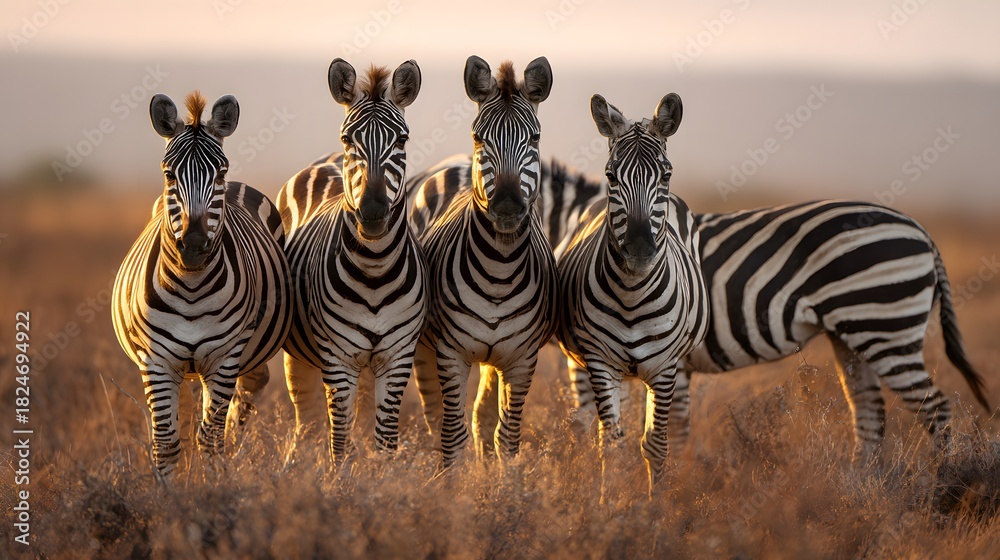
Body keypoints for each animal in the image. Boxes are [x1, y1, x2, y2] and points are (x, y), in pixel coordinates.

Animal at [112, 91, 291, 477]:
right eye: (168, 174)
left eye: (220, 171)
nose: (194, 245)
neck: (192, 288)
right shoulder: (157, 361)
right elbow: (166, 444)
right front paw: (174, 492)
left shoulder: (225, 358)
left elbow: (210, 440)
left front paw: (213, 486)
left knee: (244, 397)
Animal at [277, 59, 426, 466]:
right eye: (348, 139)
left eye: (402, 140)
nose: (372, 213)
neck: (375, 270)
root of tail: (324, 163)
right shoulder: (337, 359)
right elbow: (339, 438)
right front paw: (340, 478)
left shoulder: (397, 358)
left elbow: (385, 438)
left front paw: (382, 476)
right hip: (298, 352)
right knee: (306, 419)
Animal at [409, 56, 557, 467]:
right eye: (479, 136)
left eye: (535, 138)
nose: (506, 204)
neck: (499, 272)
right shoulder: (450, 353)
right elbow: (451, 434)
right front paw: (451, 484)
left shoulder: (522, 360)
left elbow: (506, 435)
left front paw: (504, 482)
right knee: (435, 415)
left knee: (483, 416)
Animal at [555, 93, 709, 494]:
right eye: (611, 175)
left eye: (666, 174)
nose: (640, 248)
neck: (632, 296)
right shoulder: (599, 362)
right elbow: (611, 443)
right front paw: (610, 503)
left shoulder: (666, 367)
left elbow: (655, 445)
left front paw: (655, 506)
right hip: (591, 366)